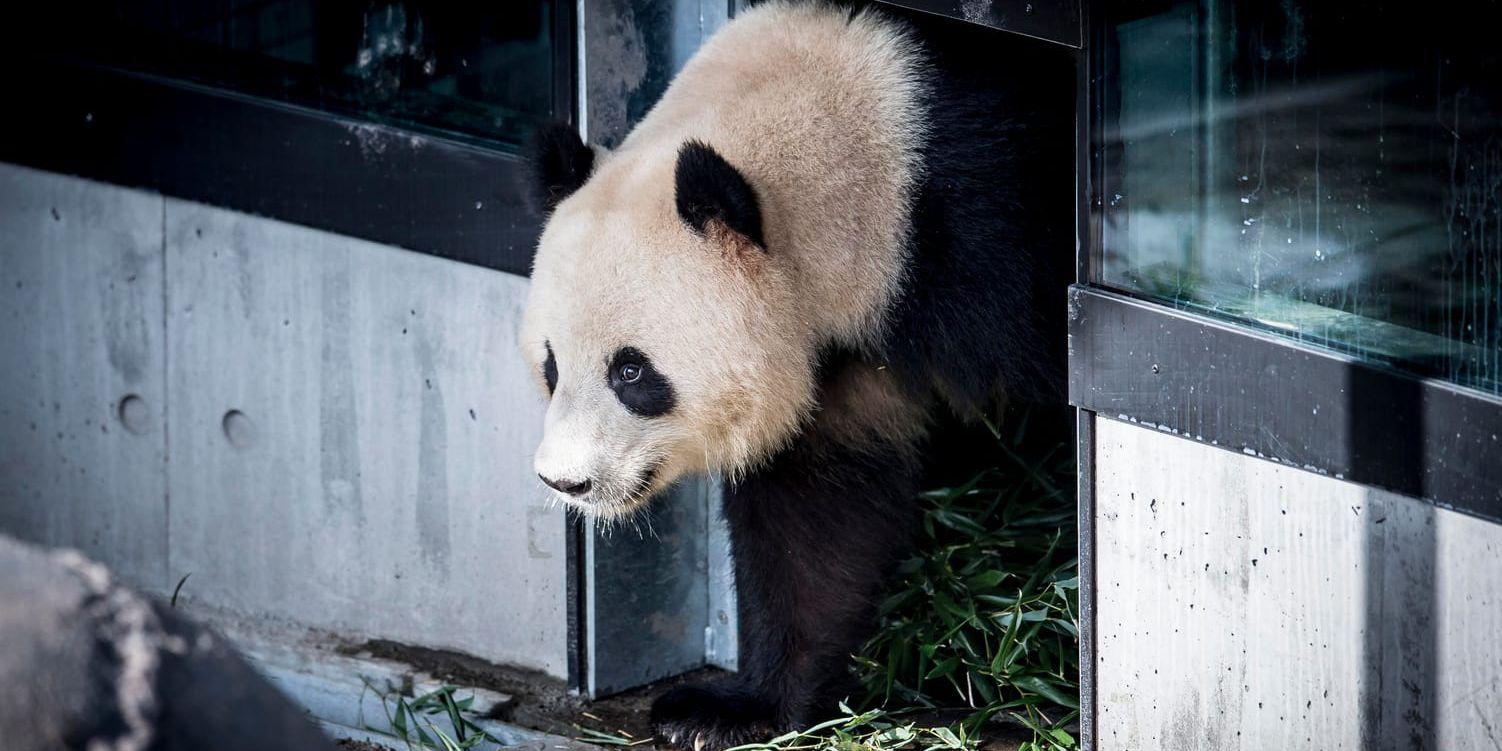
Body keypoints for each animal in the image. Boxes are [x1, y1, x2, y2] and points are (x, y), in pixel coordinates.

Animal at [522, 2, 1075, 747]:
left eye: (632, 372)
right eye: (551, 366)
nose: (566, 482)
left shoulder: (995, 231)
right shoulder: (835, 345)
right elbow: (815, 514)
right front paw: (728, 709)